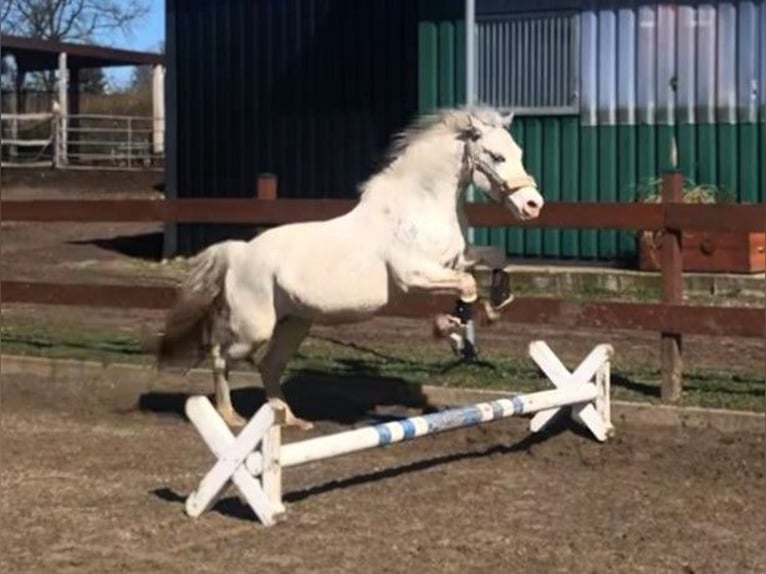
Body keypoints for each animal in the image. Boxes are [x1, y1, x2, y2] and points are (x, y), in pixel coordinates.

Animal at [158, 109, 540, 432]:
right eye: (496, 156)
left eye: (520, 152)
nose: (533, 206)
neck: (420, 206)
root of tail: (239, 252)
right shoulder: (415, 275)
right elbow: (466, 286)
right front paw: (455, 331)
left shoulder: (456, 259)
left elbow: (495, 257)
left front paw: (495, 305)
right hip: (254, 329)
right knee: (220, 354)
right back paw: (230, 416)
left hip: (293, 323)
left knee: (269, 365)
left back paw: (290, 419)